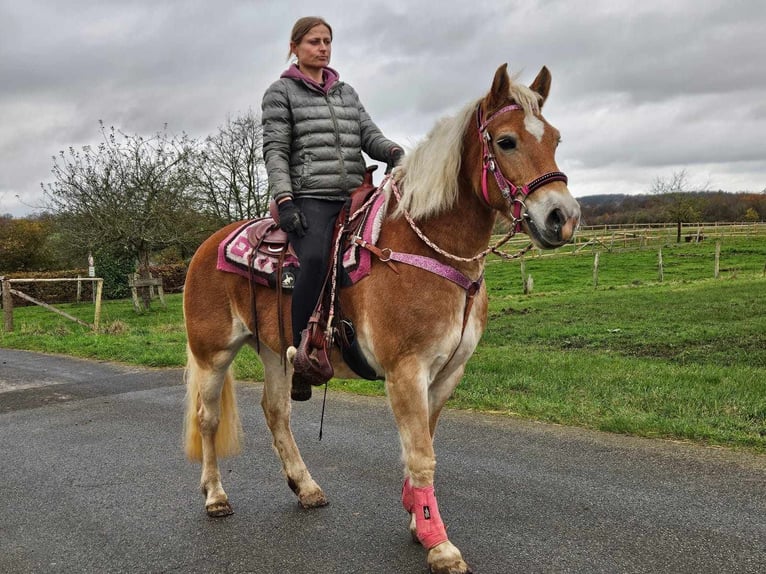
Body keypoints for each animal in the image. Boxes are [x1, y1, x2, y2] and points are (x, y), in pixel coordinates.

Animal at [184, 64, 584, 574]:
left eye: (554, 138)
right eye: (507, 141)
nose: (562, 217)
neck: (427, 248)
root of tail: (206, 246)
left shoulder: (446, 373)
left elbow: (424, 445)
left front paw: (417, 518)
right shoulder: (406, 371)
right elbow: (421, 455)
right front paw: (438, 542)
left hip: (275, 351)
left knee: (276, 414)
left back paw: (306, 487)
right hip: (213, 354)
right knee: (208, 418)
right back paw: (215, 496)